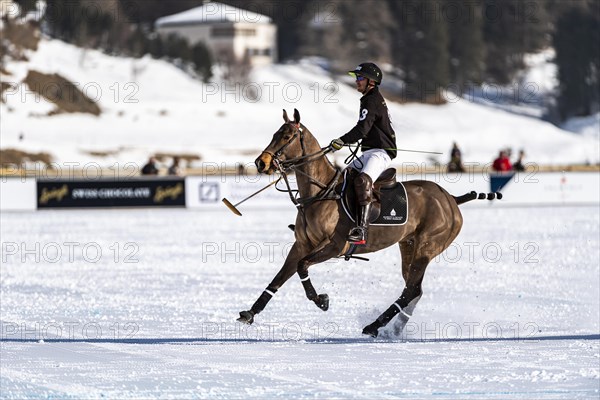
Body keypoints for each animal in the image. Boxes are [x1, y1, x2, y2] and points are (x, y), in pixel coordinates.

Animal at [237, 109, 494, 338]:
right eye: (275, 133)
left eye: (287, 136)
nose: (261, 163)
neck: (321, 192)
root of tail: (451, 199)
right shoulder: (301, 244)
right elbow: (279, 278)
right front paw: (249, 313)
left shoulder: (334, 246)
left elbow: (302, 266)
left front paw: (321, 300)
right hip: (408, 245)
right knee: (414, 290)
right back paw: (395, 329)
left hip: (428, 246)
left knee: (411, 290)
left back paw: (373, 326)